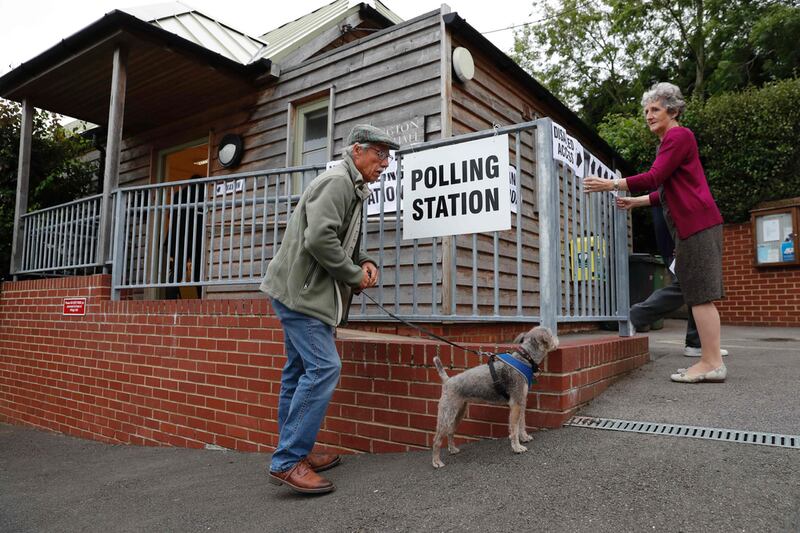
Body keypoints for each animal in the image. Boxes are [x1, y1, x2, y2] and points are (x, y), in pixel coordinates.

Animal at [432, 324, 564, 466]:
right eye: (550, 334)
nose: (557, 339)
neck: (525, 359)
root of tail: (447, 380)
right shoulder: (516, 404)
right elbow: (514, 428)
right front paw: (517, 447)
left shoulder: (522, 402)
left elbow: (522, 423)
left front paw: (524, 437)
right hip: (447, 414)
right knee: (437, 439)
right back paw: (436, 461)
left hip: (459, 413)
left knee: (450, 432)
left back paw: (452, 449)